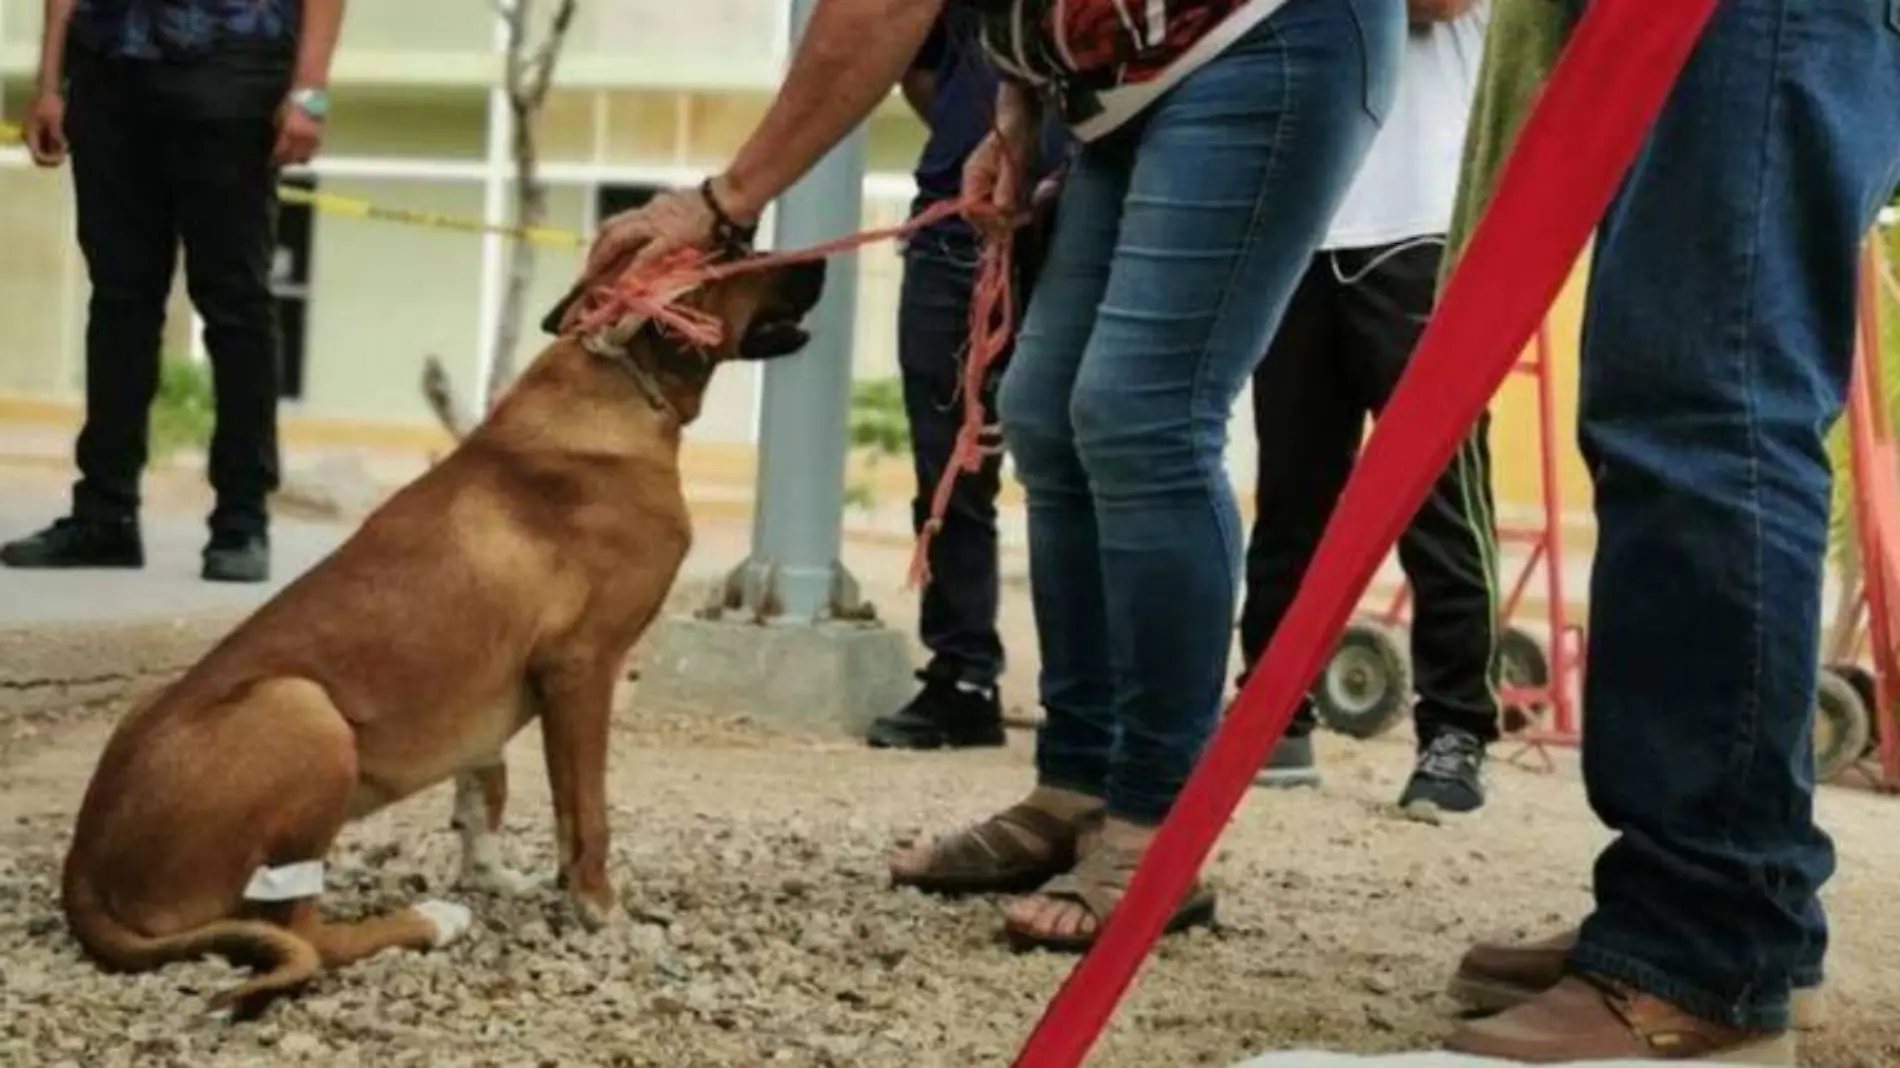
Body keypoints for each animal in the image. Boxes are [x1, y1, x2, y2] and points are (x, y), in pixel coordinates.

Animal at [59, 256, 828, 1010]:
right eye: (731, 258)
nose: (820, 264)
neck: (620, 384)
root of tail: (83, 868)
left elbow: (483, 794)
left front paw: (499, 878)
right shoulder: (584, 667)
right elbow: (587, 817)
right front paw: (602, 913)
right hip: (302, 707)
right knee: (304, 932)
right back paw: (431, 921)